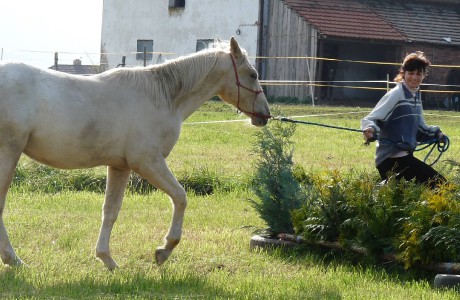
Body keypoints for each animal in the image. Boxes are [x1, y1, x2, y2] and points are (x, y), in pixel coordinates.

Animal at [0, 37, 270, 270]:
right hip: (8, 155)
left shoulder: (120, 166)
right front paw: (163, 251)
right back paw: (14, 260)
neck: (162, 96)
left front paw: (107, 259)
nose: (265, 114)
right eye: (253, 75)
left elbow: (110, 211)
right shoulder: (147, 162)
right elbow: (180, 197)